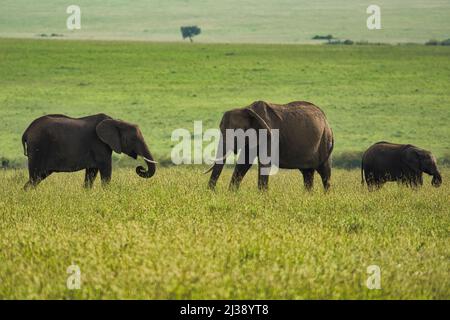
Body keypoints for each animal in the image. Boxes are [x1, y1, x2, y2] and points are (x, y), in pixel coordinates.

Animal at [22, 114, 157, 189]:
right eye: (133, 139)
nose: (140, 168)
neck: (116, 121)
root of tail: (26, 131)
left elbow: (92, 173)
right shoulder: (99, 144)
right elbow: (106, 169)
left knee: (37, 177)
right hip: (38, 148)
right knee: (34, 176)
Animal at [204, 100, 334, 190]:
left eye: (235, 132)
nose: (212, 192)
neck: (247, 109)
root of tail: (326, 120)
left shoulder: (269, 136)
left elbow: (263, 163)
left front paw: (262, 197)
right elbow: (243, 164)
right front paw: (232, 194)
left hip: (324, 141)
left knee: (325, 172)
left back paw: (326, 197)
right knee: (307, 173)